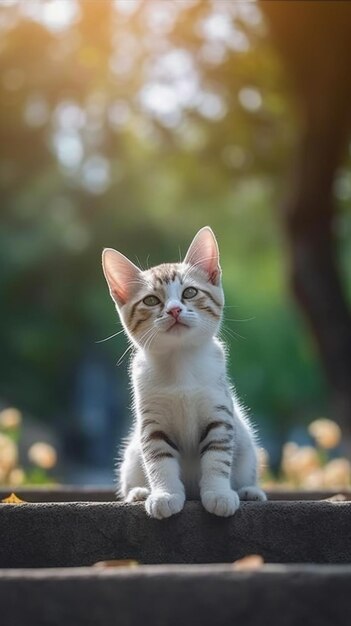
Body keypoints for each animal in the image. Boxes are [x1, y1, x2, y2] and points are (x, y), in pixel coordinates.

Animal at [102, 224, 266, 516]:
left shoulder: (219, 414)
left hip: (246, 443)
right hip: (131, 454)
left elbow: (217, 457)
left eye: (189, 292)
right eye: (151, 300)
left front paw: (219, 493)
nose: (174, 310)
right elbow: (159, 460)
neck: (180, 364)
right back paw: (140, 492)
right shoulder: (152, 424)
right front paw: (164, 494)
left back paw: (250, 491)